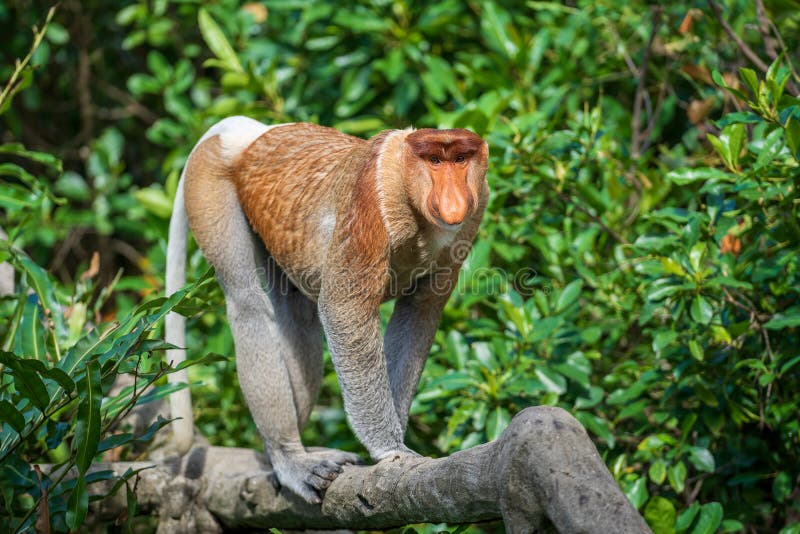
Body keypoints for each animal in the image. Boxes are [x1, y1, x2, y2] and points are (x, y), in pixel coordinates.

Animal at [165, 115, 488, 504]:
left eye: (461, 159)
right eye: (436, 161)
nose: (454, 201)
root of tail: (246, 133)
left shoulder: (471, 218)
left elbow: (420, 311)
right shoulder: (370, 200)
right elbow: (344, 308)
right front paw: (391, 449)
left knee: (298, 318)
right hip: (209, 183)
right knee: (247, 304)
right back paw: (290, 459)